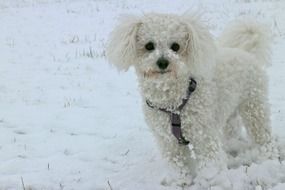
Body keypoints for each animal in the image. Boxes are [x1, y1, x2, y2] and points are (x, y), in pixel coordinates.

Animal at [106, 13, 272, 177]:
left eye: (175, 46)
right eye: (149, 46)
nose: (163, 62)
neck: (173, 104)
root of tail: (246, 52)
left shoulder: (203, 136)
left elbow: (210, 164)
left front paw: (211, 179)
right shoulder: (168, 141)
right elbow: (177, 163)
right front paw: (180, 180)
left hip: (253, 106)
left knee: (262, 133)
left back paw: (267, 154)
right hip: (228, 109)